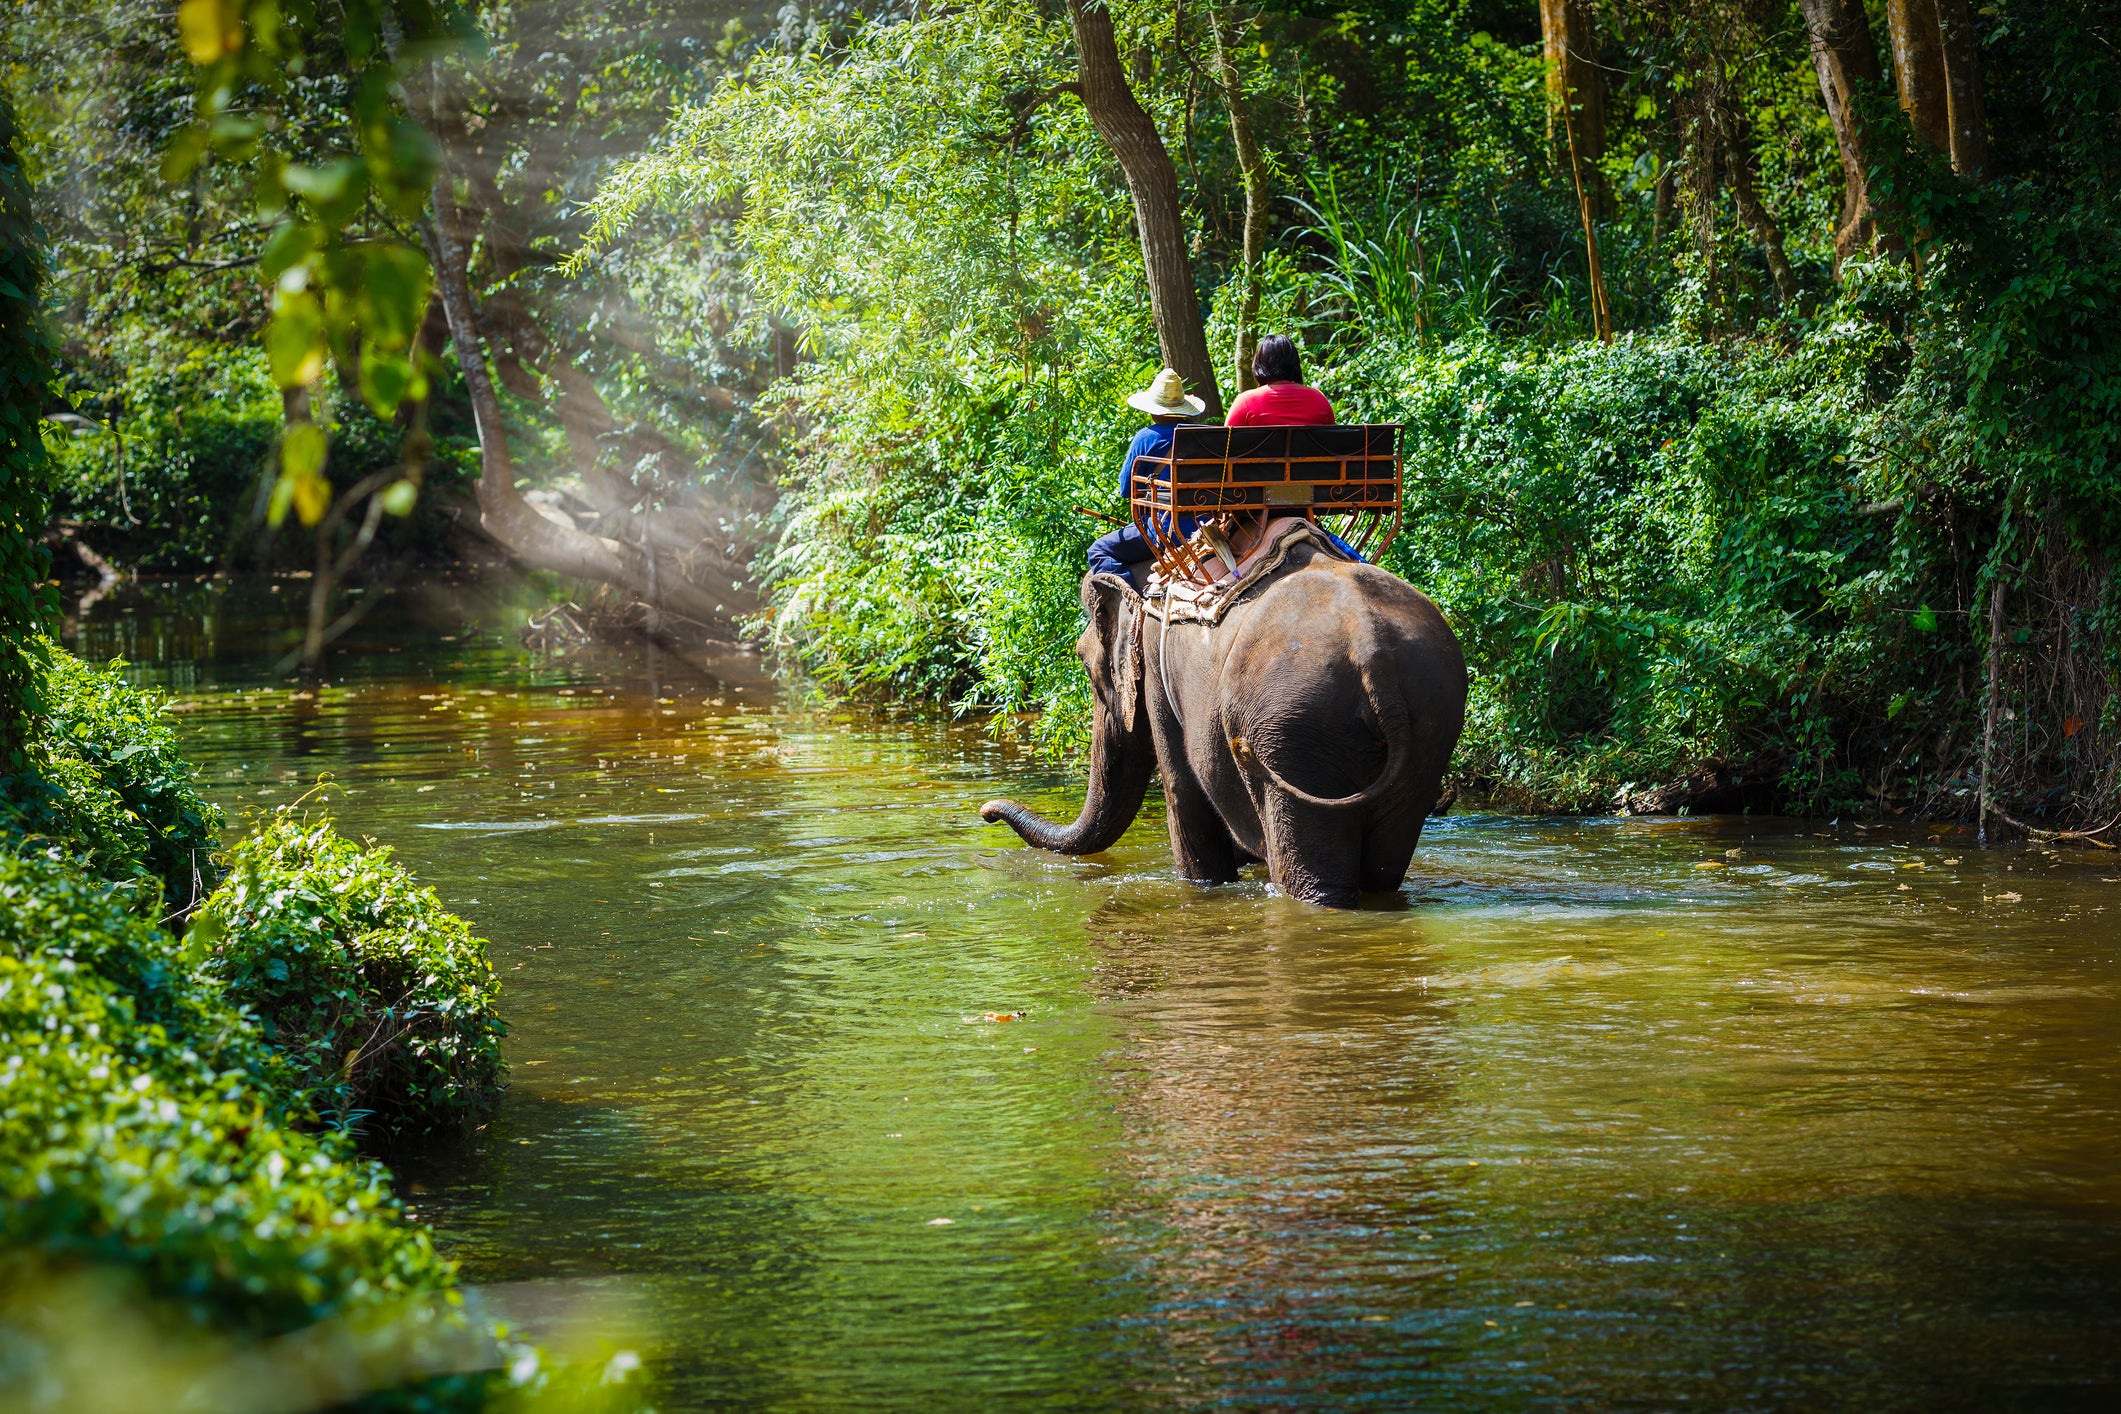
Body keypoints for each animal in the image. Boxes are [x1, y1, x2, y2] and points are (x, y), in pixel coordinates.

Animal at [980, 530, 1467, 907]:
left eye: (1085, 663)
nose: (986, 812)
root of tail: (1373, 654)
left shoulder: (1158, 671)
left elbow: (1183, 791)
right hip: (1429, 722)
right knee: (1384, 869)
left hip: (1295, 730)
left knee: (1313, 874)